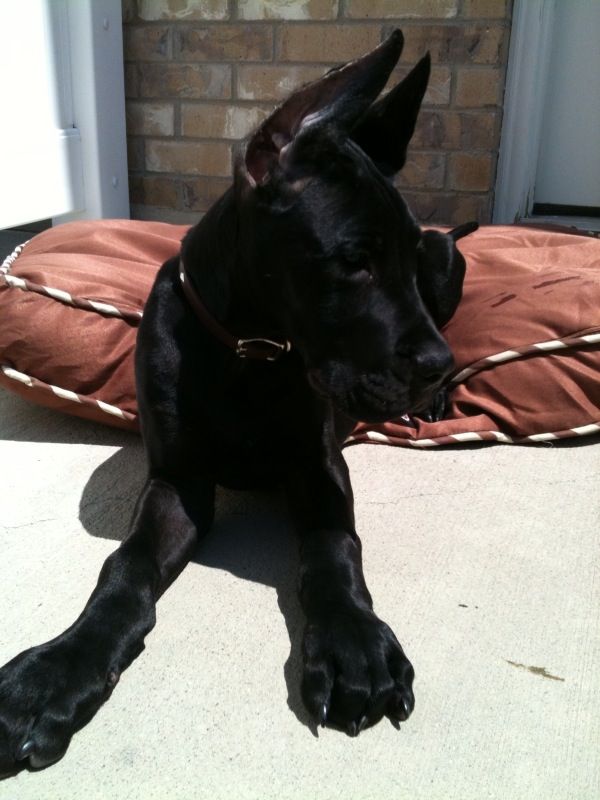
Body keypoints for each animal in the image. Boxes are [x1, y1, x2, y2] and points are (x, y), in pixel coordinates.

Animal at [1, 31, 478, 776]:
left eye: (390, 259)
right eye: (354, 262)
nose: (436, 367)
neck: (249, 350)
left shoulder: (319, 468)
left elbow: (334, 548)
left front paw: (353, 644)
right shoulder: (176, 482)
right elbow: (124, 568)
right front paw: (54, 674)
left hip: (445, 261)